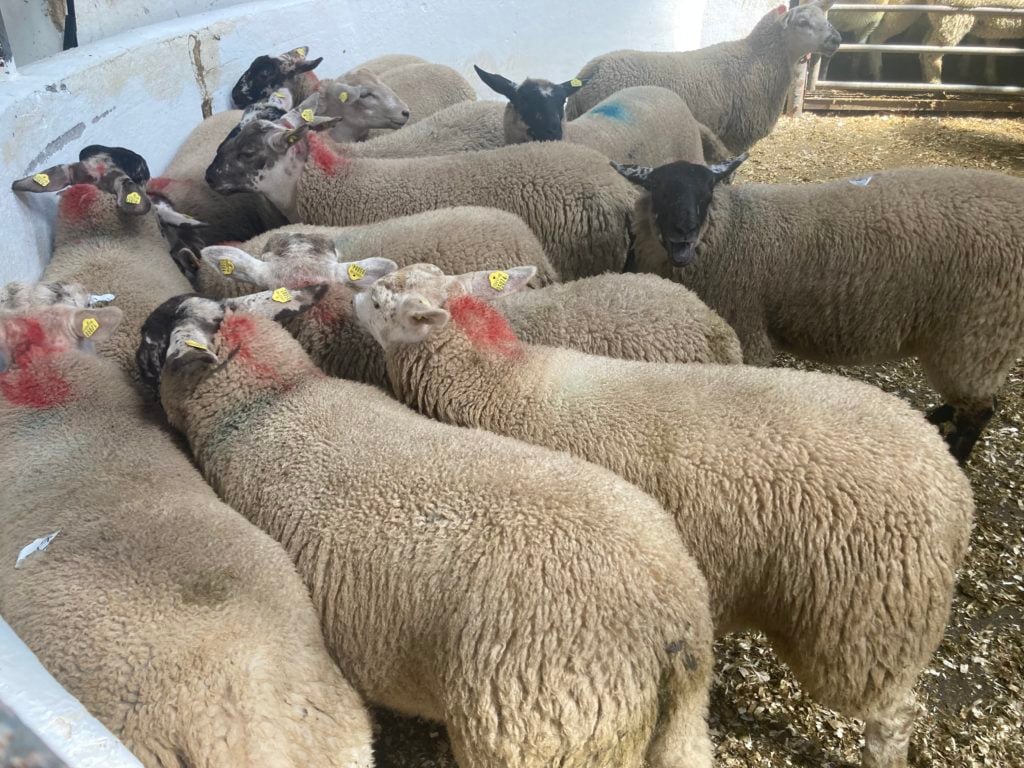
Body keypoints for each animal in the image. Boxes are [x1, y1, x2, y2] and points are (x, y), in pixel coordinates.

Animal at [139, 288, 716, 768]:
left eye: (155, 341)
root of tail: (672, 621)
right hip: (677, 734)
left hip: (535, 734)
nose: (134, 356)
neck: (273, 396)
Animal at [356, 262, 976, 768]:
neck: (496, 379)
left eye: (384, 302)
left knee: (891, 716)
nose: (352, 292)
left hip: (869, 620)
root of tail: (954, 487)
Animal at [475, 65, 718, 165]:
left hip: (691, 154)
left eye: (562, 101)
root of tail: (664, 91)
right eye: (524, 100)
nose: (553, 130)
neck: (574, 137)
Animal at [565, 1, 842, 155]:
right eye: (803, 22)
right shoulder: (736, 138)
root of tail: (592, 68)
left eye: (824, 17)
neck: (761, 58)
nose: (836, 39)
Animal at [617, 155, 1024, 464]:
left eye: (706, 192)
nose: (683, 234)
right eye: (658, 190)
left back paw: (957, 454)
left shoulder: (747, 328)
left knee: (981, 409)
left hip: (979, 330)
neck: (733, 228)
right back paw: (937, 417)